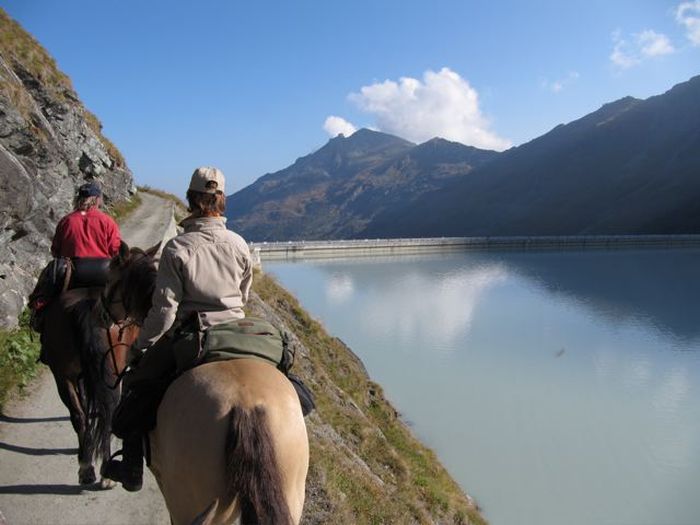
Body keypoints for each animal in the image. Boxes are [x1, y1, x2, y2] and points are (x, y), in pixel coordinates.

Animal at [41, 244, 157, 486]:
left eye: (111, 277)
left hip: (64, 375)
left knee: (82, 415)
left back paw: (89, 467)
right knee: (101, 414)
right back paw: (99, 469)